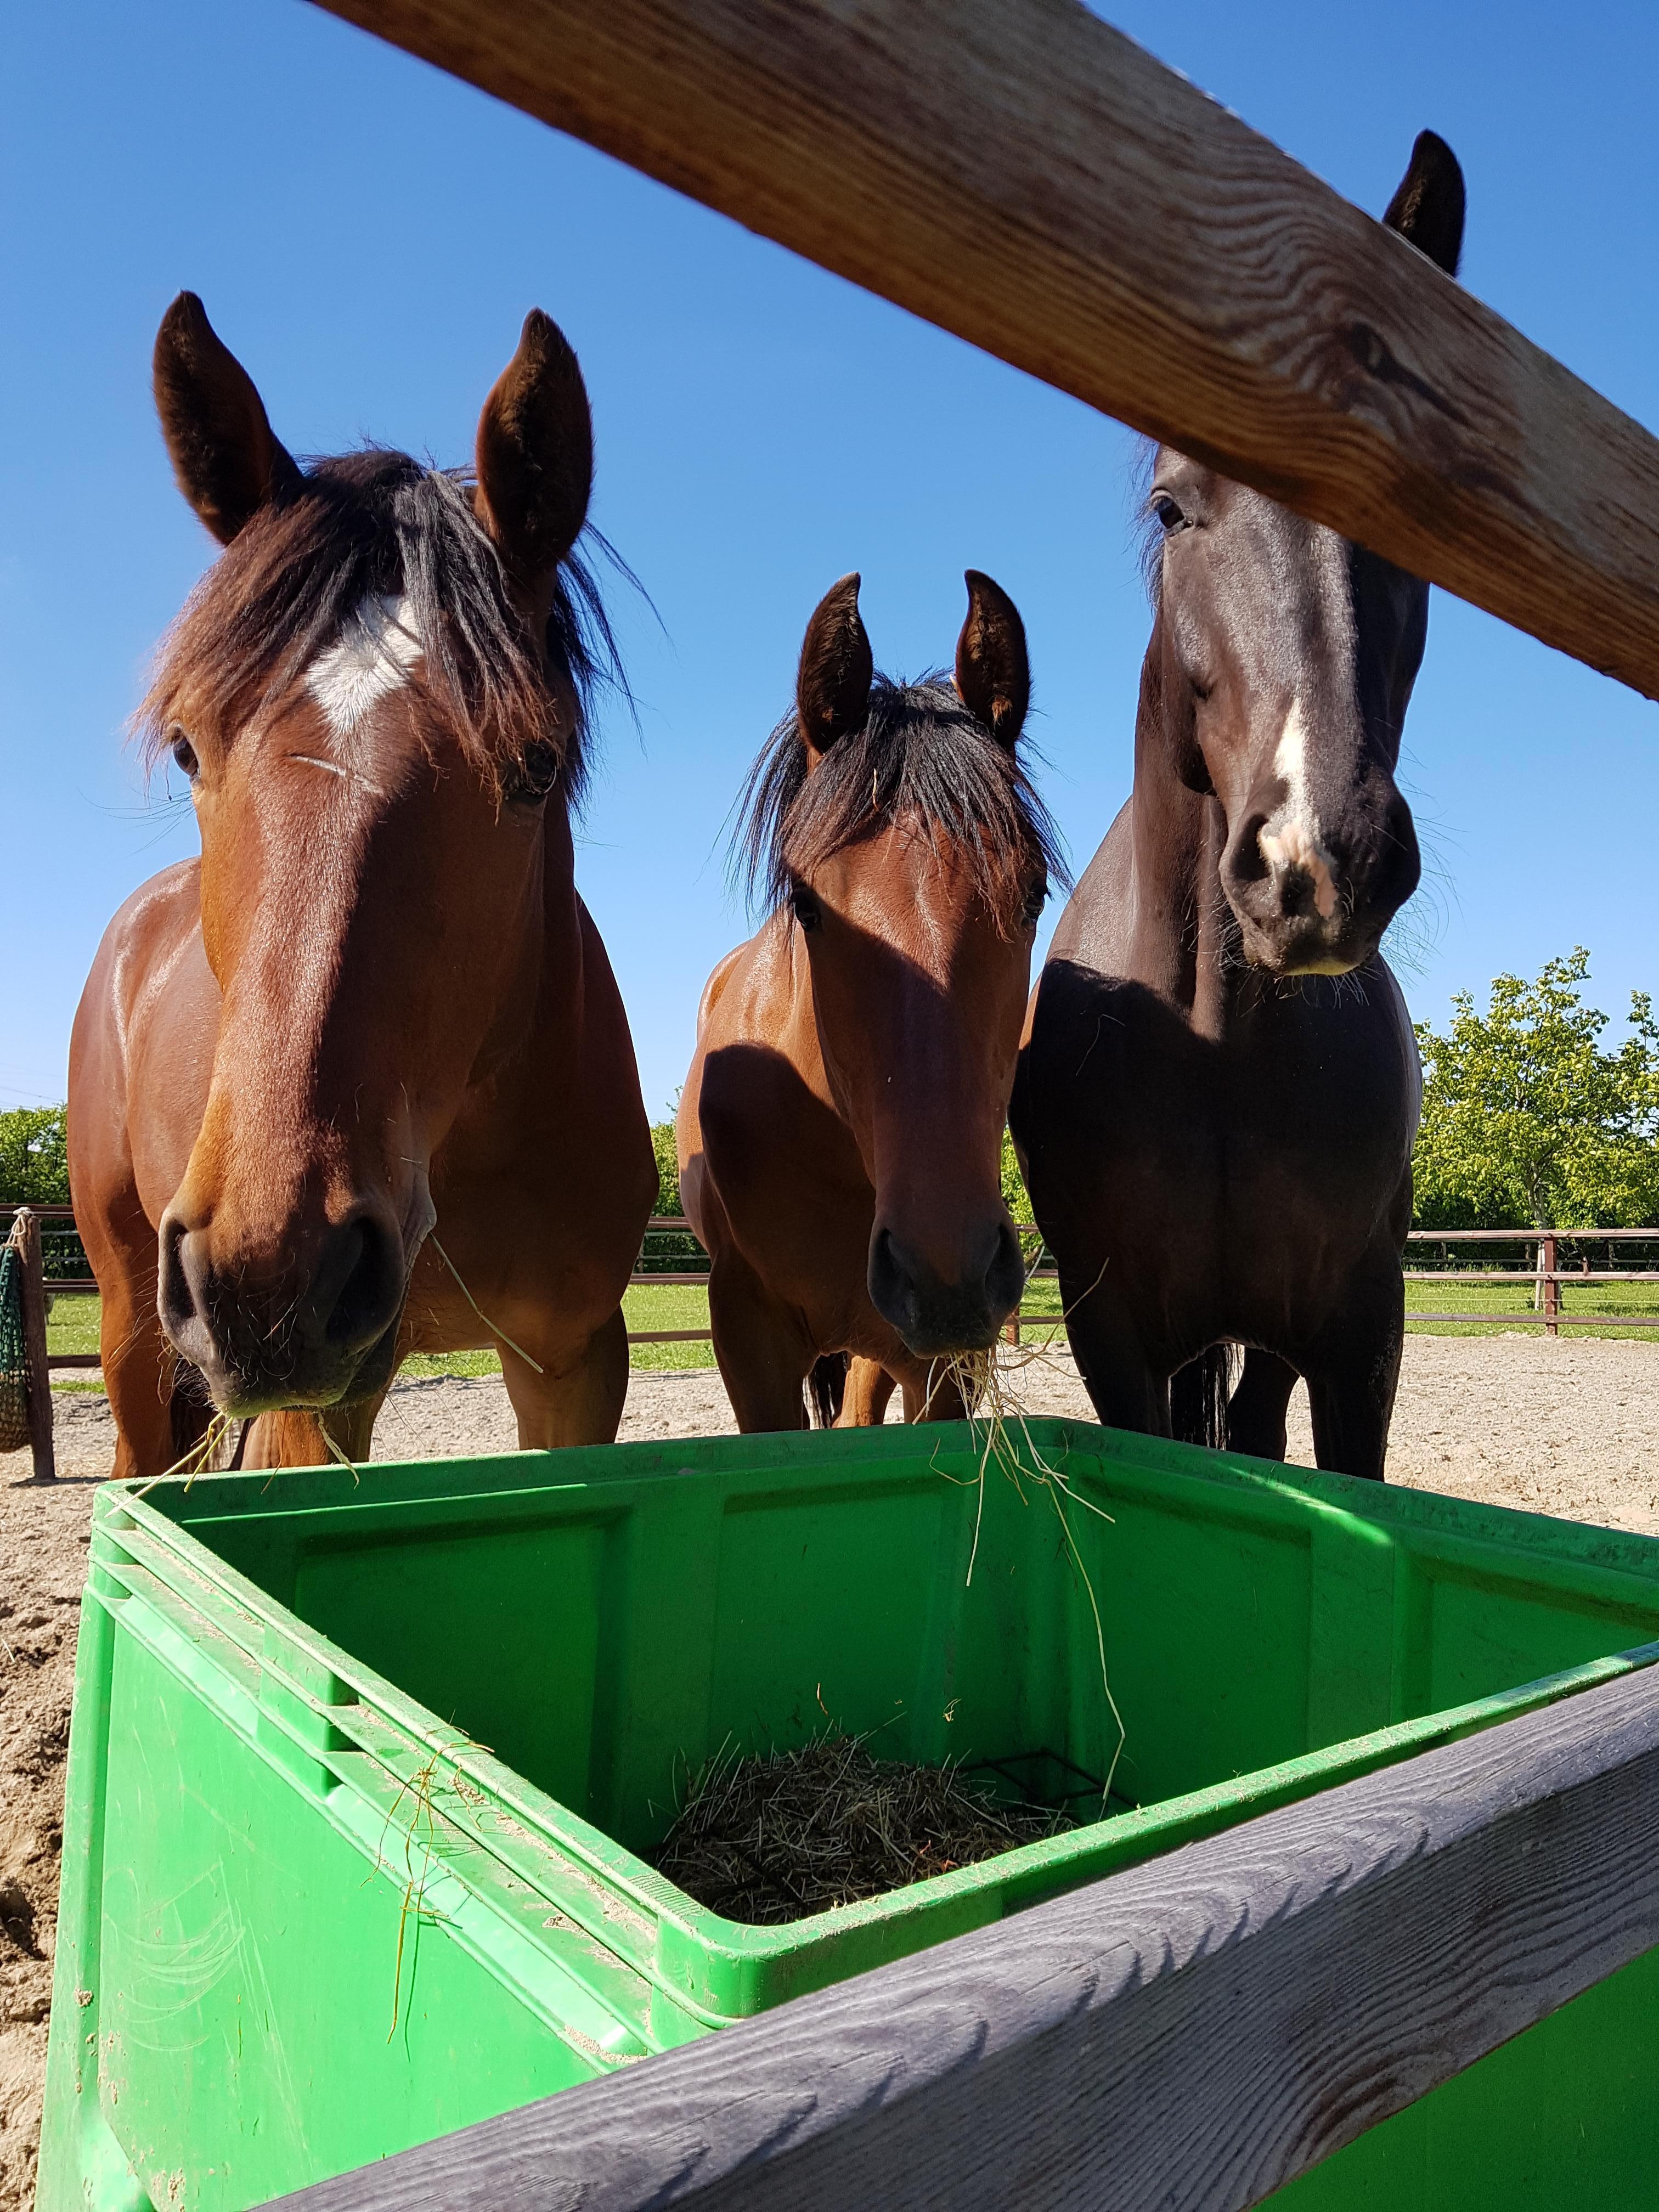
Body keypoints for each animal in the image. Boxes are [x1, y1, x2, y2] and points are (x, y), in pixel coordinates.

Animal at [68, 295, 656, 1482]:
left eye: (534, 765)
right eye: (189, 750)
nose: (270, 1277)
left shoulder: (572, 1361)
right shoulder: (316, 1405)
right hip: (133, 1328)